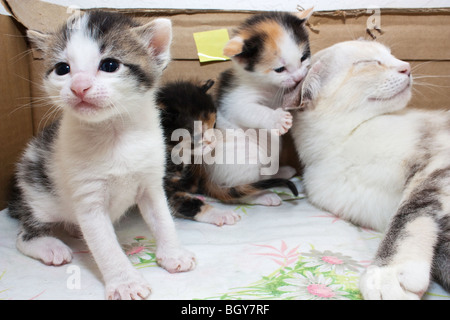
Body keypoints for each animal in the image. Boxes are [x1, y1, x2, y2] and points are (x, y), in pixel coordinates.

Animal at [7, 10, 194, 300]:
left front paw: (174, 253)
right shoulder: (88, 199)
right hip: (38, 195)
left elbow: (163, 219)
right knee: (24, 233)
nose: (79, 86)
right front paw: (125, 281)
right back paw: (48, 246)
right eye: (62, 69)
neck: (114, 134)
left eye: (109, 65)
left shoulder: (151, 182)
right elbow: (105, 245)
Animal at [290, 40, 450, 300]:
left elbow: (408, 215)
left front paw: (388, 273)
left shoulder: (435, 163)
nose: (406, 67)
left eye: (391, 55)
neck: (345, 142)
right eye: (367, 63)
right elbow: (441, 244)